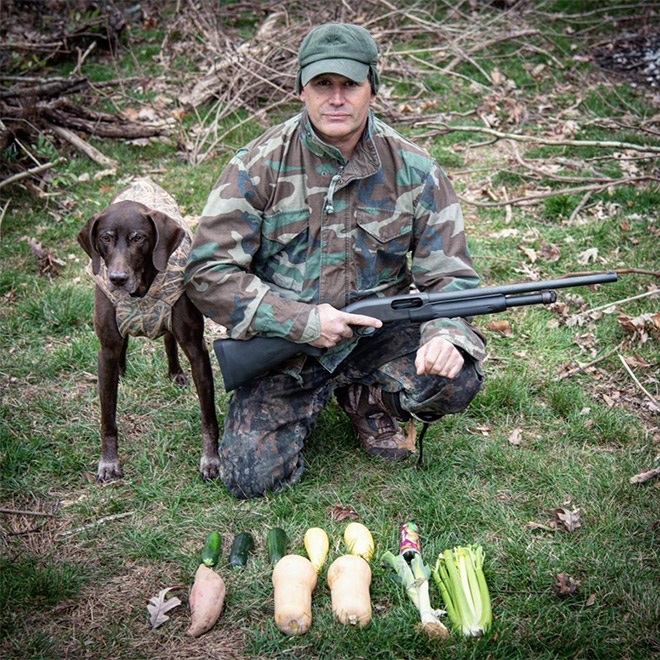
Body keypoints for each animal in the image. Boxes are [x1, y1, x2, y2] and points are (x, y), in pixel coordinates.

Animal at [77, 178, 220, 482]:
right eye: (105, 238)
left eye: (138, 238)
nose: (117, 278)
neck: (140, 292)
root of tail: (142, 180)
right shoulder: (106, 349)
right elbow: (107, 418)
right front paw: (108, 462)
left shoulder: (196, 349)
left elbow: (208, 416)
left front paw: (210, 459)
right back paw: (122, 370)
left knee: (168, 338)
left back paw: (175, 372)